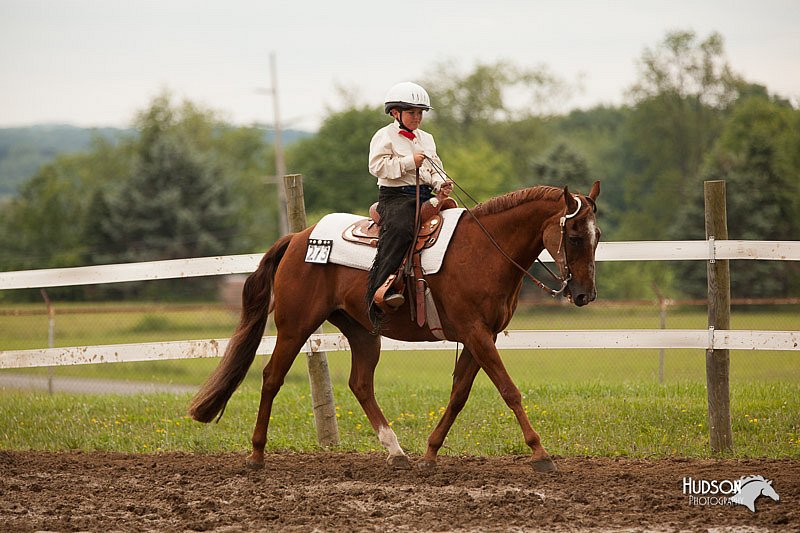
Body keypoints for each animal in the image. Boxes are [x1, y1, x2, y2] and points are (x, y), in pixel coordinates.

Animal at [188, 181, 600, 472]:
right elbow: (509, 390)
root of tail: (298, 238)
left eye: (597, 238)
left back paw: (396, 451)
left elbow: (460, 395)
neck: (485, 249)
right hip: (295, 326)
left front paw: (430, 453)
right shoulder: (476, 332)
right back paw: (257, 454)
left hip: (362, 331)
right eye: (574, 235)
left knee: (360, 384)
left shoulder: (480, 336)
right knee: (272, 377)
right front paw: (541, 453)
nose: (585, 294)